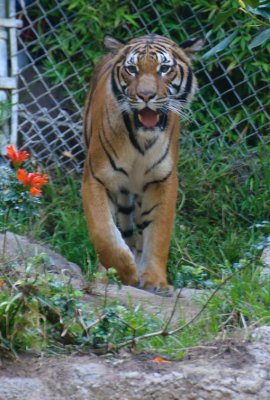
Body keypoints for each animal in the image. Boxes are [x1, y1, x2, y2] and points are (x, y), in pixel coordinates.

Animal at [82, 33, 202, 294]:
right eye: (132, 70)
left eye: (164, 69)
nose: (146, 96)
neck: (142, 141)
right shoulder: (97, 177)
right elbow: (104, 234)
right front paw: (124, 272)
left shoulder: (163, 181)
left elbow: (158, 234)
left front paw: (156, 281)